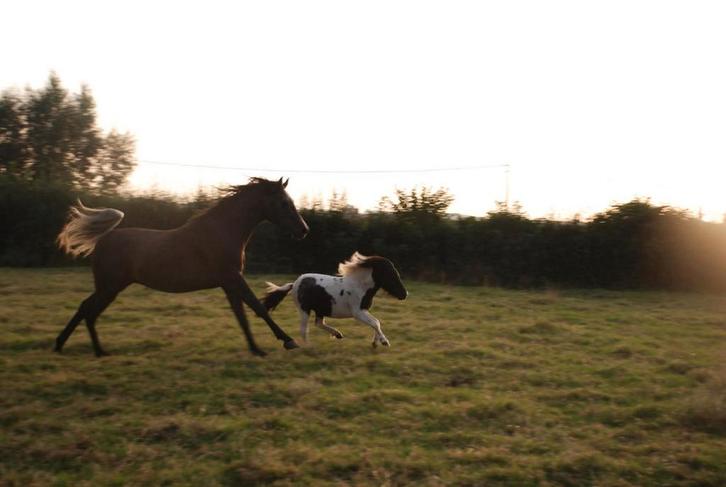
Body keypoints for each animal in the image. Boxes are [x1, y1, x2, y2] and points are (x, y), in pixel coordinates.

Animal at [54, 177, 309, 358]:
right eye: (284, 203)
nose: (304, 230)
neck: (223, 232)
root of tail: (103, 239)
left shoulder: (229, 283)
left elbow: (242, 316)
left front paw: (256, 349)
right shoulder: (233, 278)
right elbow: (258, 307)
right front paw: (288, 341)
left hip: (110, 287)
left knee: (85, 308)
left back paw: (63, 345)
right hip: (110, 287)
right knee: (89, 310)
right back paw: (96, 351)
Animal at [263, 252, 408, 347]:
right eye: (390, 274)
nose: (404, 294)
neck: (360, 286)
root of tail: (294, 284)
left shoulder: (364, 310)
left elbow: (375, 323)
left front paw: (375, 342)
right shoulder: (358, 312)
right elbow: (375, 322)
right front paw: (384, 342)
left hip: (320, 310)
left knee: (319, 323)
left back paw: (338, 334)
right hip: (304, 310)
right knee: (304, 329)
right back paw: (309, 347)